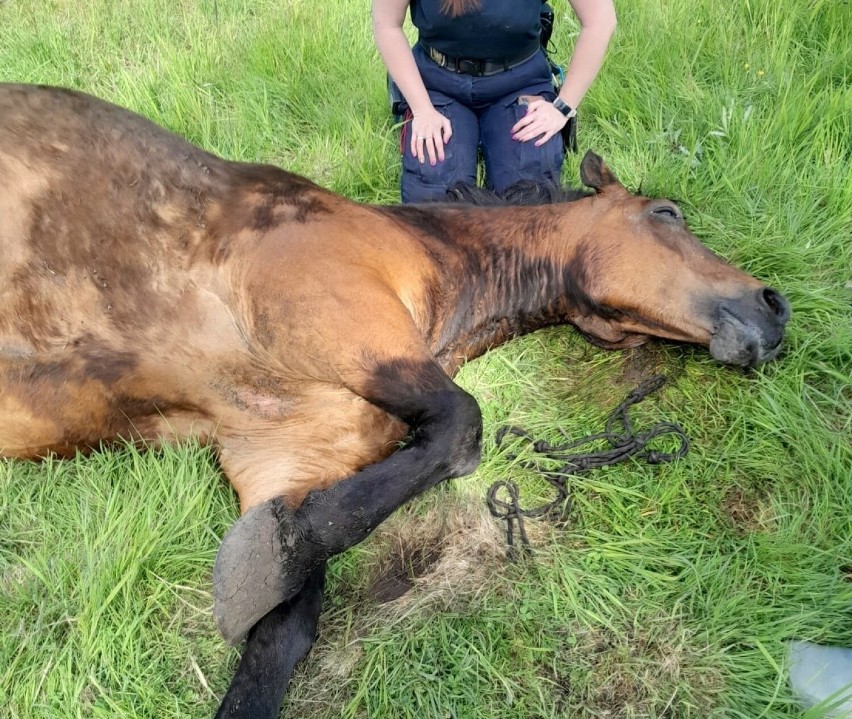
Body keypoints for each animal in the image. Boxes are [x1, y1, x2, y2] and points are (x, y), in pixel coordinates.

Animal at [0, 86, 792, 719]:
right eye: (666, 212)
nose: (775, 308)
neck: (425, 257)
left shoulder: (283, 468)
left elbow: (279, 638)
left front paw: (268, 561)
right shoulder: (345, 329)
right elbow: (461, 426)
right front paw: (271, 555)